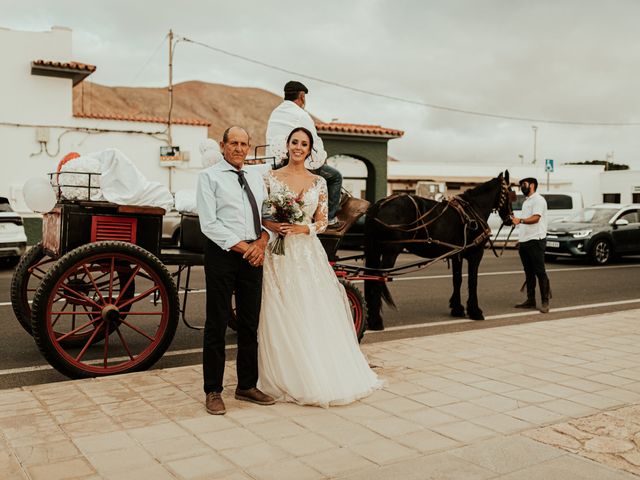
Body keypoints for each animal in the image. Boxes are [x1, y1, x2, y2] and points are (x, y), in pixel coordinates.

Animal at [364, 170, 516, 330]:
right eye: (511, 193)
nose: (511, 219)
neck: (474, 210)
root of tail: (379, 205)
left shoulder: (457, 255)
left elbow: (457, 280)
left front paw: (457, 308)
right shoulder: (475, 254)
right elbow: (472, 282)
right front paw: (475, 311)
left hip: (374, 251)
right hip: (390, 252)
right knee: (377, 279)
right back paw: (376, 321)